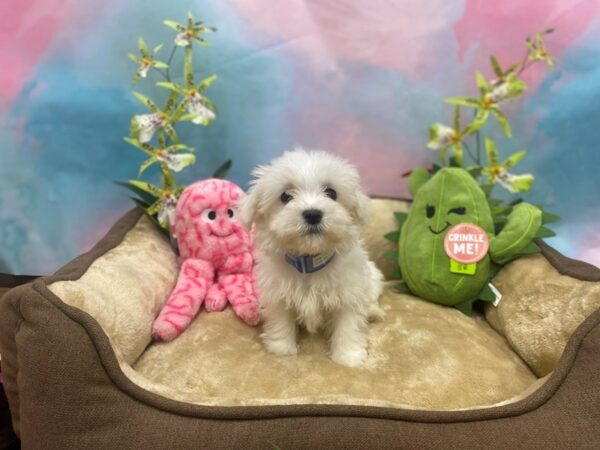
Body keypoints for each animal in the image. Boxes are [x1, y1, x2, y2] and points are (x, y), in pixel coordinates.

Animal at [239, 149, 384, 368]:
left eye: (331, 193)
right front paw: (281, 348)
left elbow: (348, 325)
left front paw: (348, 357)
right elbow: (281, 320)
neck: (309, 260)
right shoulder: (278, 293)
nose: (313, 214)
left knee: (371, 299)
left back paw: (374, 312)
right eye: (285, 196)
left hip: (373, 278)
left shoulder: (350, 293)